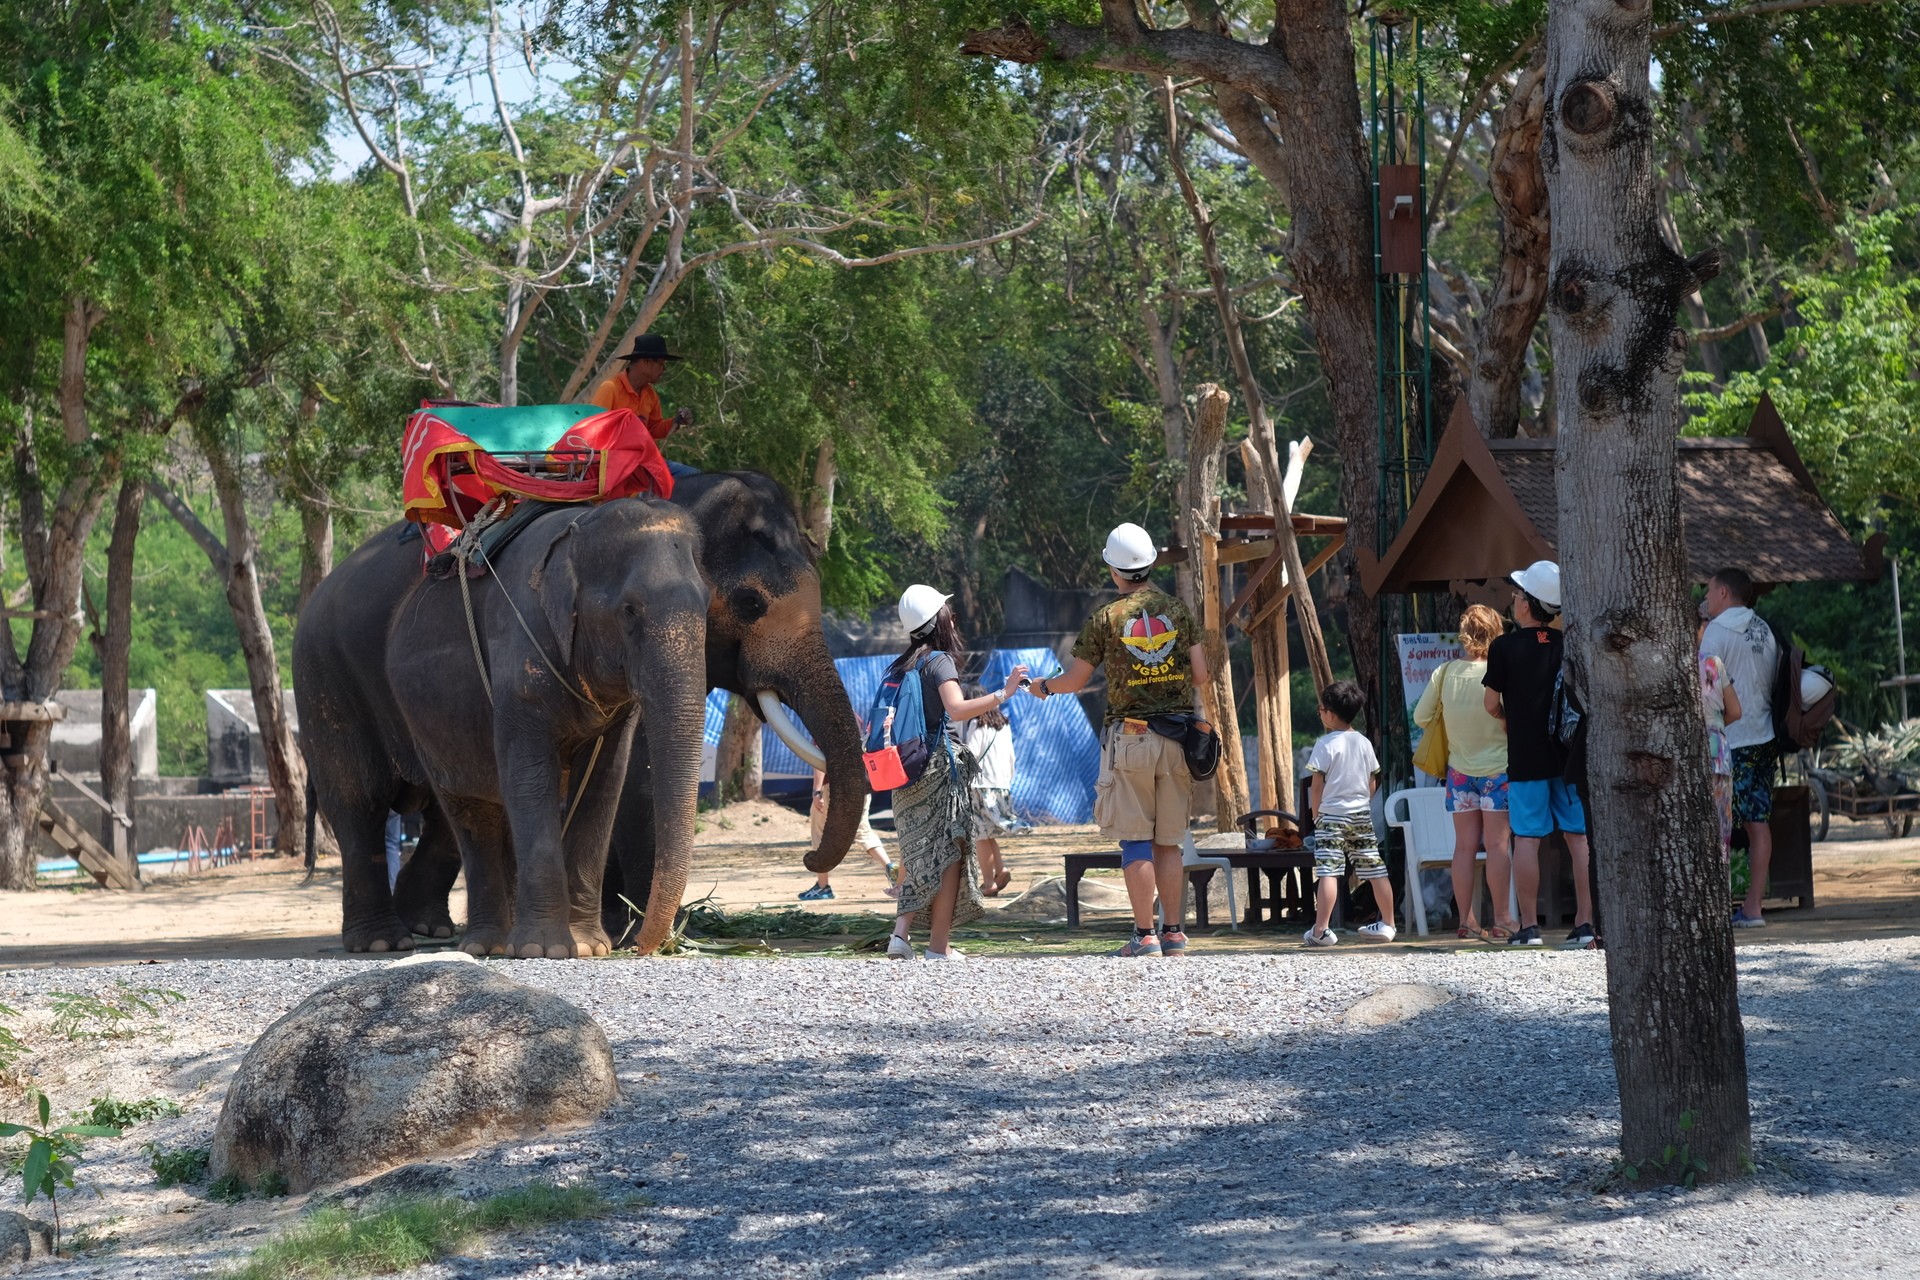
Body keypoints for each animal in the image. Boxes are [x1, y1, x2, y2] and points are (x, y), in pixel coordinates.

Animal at [295, 498, 718, 959]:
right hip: (327, 679)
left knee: (461, 807)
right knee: (366, 802)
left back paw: (459, 935)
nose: (645, 946)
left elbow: (603, 784)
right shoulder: (518, 648)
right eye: (629, 610)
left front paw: (589, 948)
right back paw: (387, 941)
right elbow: (530, 779)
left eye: (707, 608)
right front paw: (546, 951)